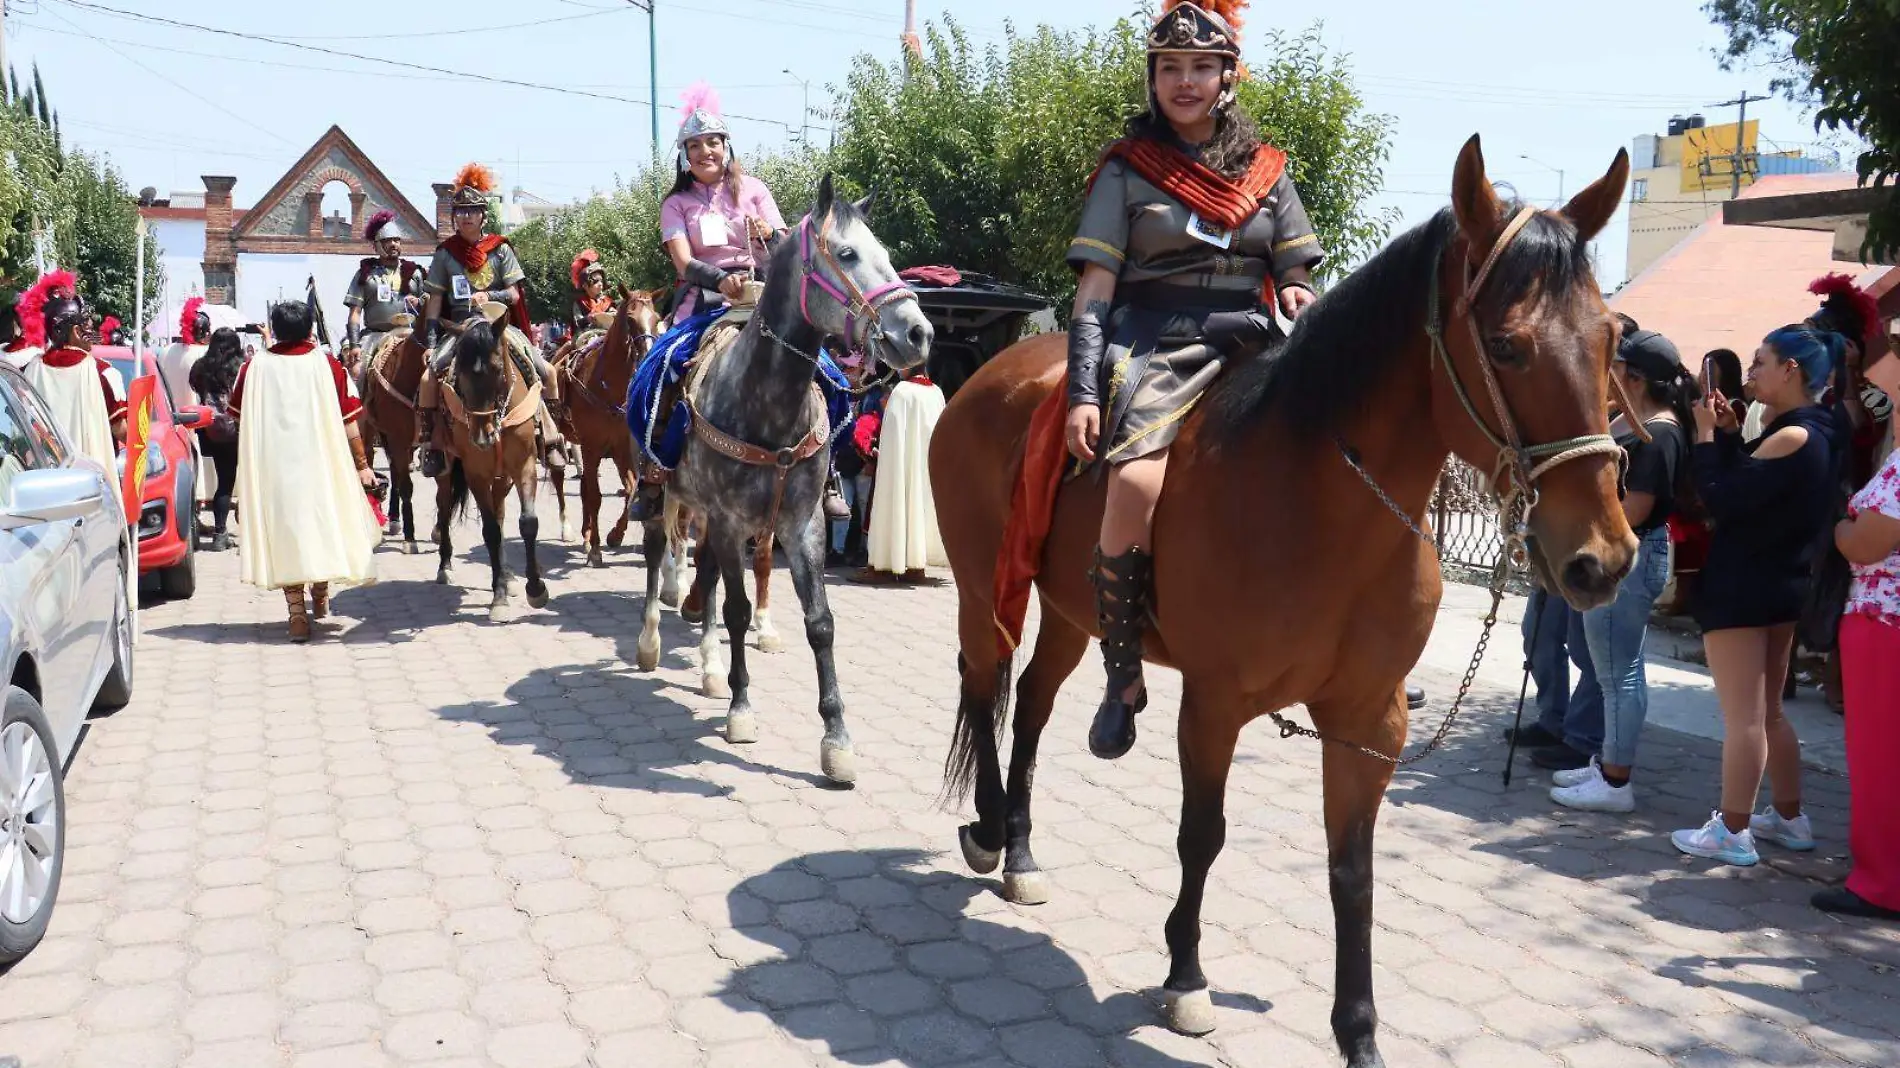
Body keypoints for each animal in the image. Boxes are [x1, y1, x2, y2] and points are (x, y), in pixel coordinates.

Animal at [433, 311, 547, 619]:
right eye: (459, 370)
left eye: (497, 368)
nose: (482, 436)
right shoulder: (476, 474)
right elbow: (491, 532)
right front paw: (499, 598)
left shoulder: (524, 466)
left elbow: (528, 523)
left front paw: (535, 589)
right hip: (447, 471)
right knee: (444, 507)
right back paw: (445, 567)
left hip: (502, 479)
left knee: (500, 512)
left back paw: (507, 576)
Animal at [547, 283, 665, 566]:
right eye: (630, 319)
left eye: (657, 319)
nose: (649, 355)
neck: (608, 387)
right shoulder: (591, 447)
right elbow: (596, 497)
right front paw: (596, 549)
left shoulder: (621, 448)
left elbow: (630, 490)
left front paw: (613, 536)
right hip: (559, 440)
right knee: (561, 480)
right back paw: (569, 529)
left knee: (584, 487)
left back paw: (586, 533)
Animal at [638, 174, 934, 782]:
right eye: (846, 254)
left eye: (885, 253)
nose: (918, 334)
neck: (766, 403)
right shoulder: (729, 523)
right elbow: (736, 610)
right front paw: (741, 709)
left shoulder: (802, 525)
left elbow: (819, 622)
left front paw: (836, 739)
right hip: (663, 494)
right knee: (660, 556)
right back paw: (651, 642)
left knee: (703, 575)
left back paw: (709, 668)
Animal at [931, 136, 1634, 1056]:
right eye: (1509, 346)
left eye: (1611, 340)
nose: (1603, 558)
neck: (1322, 504)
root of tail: (991, 374)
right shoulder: (1214, 703)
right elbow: (1203, 836)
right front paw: (1186, 977)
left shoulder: (1371, 721)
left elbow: (1352, 872)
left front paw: (1359, 1033)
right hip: (988, 587)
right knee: (985, 686)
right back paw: (986, 831)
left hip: (1071, 612)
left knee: (1036, 703)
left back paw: (1018, 849)